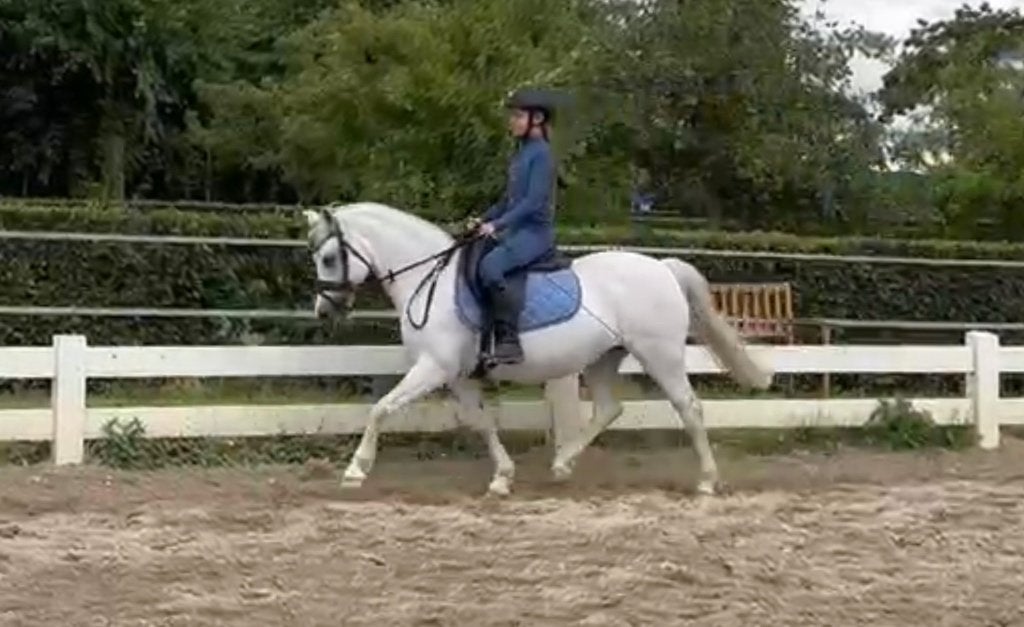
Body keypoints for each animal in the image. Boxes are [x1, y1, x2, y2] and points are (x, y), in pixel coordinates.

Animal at [304, 201, 773, 497]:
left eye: (327, 258)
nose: (323, 311)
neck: (428, 278)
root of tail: (661, 266)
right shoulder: (456, 376)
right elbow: (481, 422)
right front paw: (502, 478)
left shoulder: (433, 368)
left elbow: (380, 408)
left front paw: (355, 470)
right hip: (604, 359)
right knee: (609, 408)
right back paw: (562, 465)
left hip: (661, 355)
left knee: (688, 408)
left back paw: (707, 481)